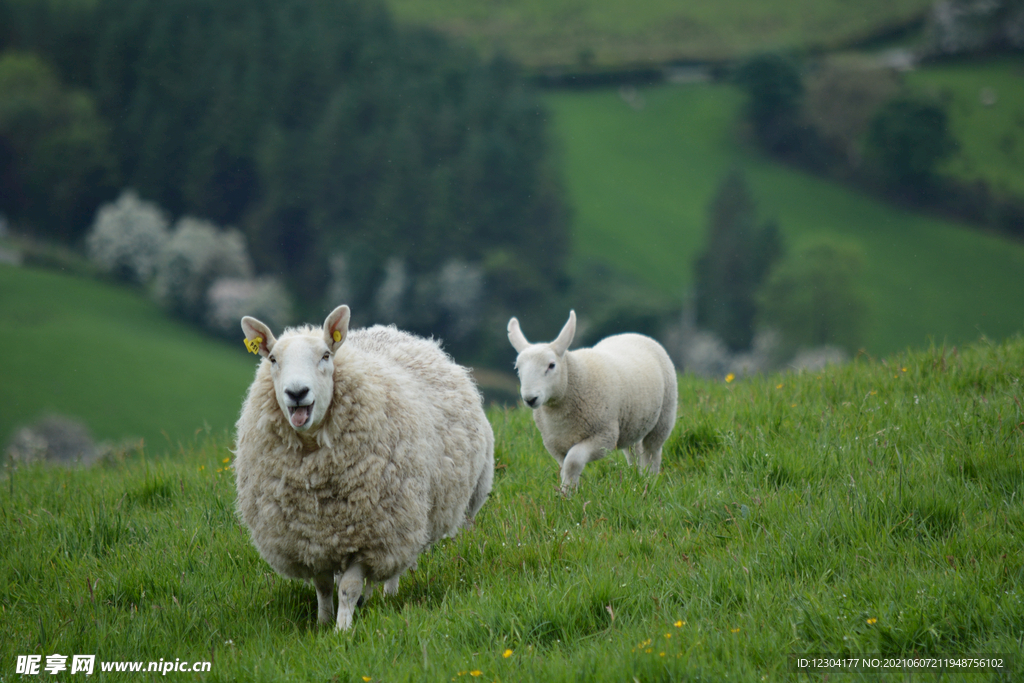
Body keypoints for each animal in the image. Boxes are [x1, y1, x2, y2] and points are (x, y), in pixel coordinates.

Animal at [233, 307, 495, 634]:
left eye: (325, 356)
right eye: (272, 359)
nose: (297, 392)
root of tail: (394, 331)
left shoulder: (370, 534)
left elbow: (348, 587)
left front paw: (342, 630)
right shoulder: (309, 538)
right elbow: (323, 587)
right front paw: (323, 623)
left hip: (405, 517)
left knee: (396, 563)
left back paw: (388, 595)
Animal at [505, 309, 679, 491]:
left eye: (551, 365)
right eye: (517, 368)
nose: (530, 399)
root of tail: (632, 334)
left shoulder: (604, 436)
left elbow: (573, 461)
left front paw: (567, 492)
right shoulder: (555, 445)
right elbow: (565, 467)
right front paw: (568, 491)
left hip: (664, 416)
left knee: (652, 451)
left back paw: (650, 479)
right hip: (633, 421)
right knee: (635, 450)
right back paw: (637, 478)